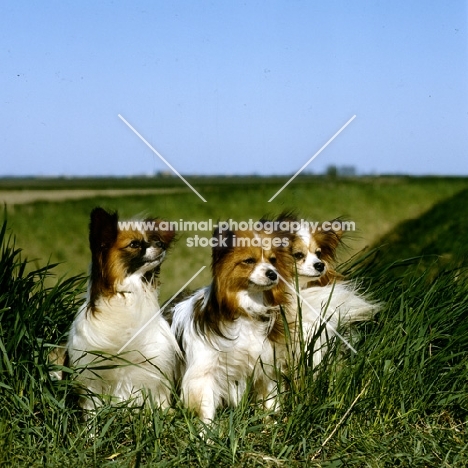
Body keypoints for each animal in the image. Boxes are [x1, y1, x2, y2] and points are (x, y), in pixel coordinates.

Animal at [67, 207, 179, 410]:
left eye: (153, 239)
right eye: (134, 244)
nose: (160, 243)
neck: (126, 294)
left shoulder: (153, 368)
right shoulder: (93, 373)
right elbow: (93, 407)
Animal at [168, 227, 292, 424]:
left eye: (273, 260)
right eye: (249, 261)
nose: (273, 274)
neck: (246, 309)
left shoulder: (265, 364)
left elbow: (270, 401)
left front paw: (271, 424)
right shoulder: (204, 373)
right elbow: (206, 407)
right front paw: (206, 431)